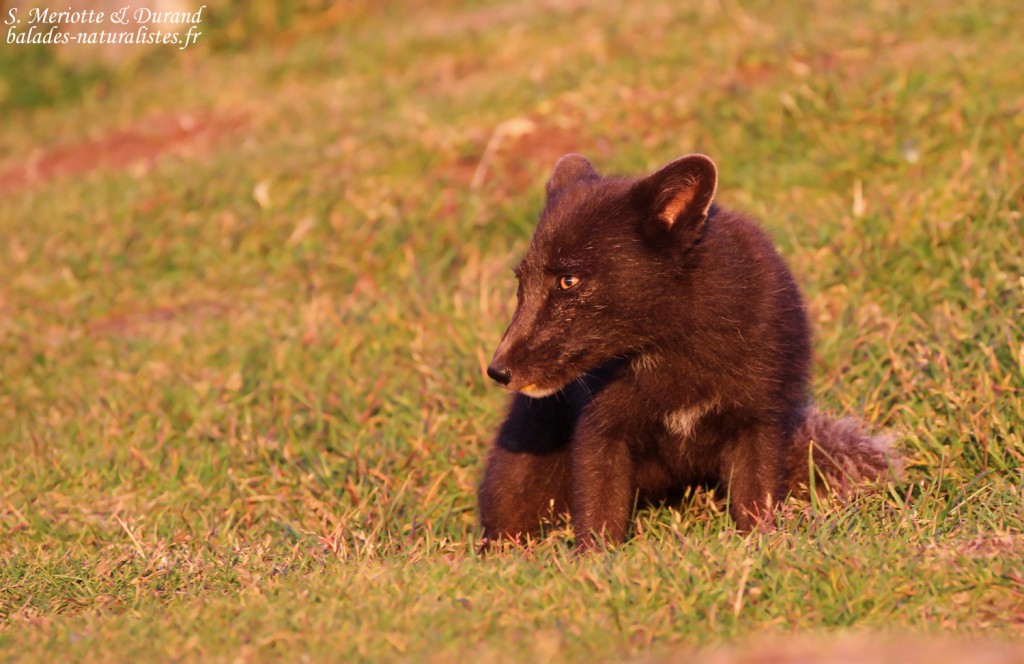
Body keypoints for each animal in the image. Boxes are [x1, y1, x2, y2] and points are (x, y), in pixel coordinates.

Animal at [478, 153, 900, 551]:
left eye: (569, 280)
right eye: (521, 281)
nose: (498, 371)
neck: (673, 355)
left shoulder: (759, 422)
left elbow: (756, 503)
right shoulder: (600, 430)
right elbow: (600, 513)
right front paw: (594, 565)